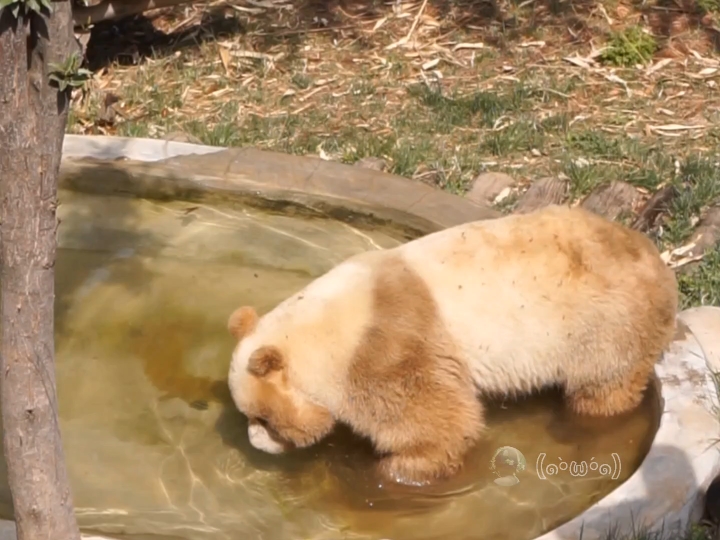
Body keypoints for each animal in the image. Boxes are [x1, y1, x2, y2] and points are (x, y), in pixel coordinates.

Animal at [228, 205, 676, 488]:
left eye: (264, 418)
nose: (254, 441)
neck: (326, 328)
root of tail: (654, 257)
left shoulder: (385, 344)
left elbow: (434, 418)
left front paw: (393, 470)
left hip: (602, 323)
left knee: (603, 386)